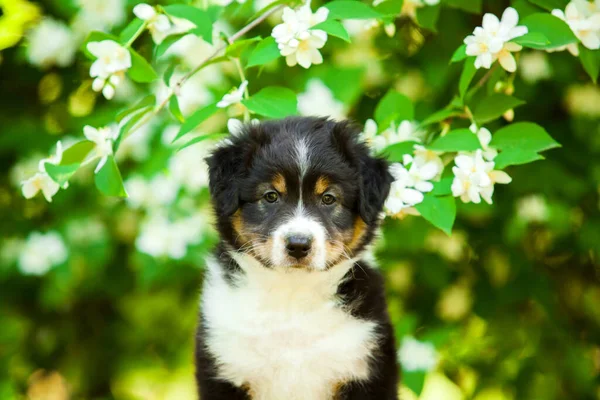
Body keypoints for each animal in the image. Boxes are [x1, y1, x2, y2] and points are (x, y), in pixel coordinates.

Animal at [196, 116, 398, 400]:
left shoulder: (362, 368)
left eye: (328, 198)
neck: (292, 297)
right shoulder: (226, 367)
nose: (299, 245)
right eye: (271, 196)